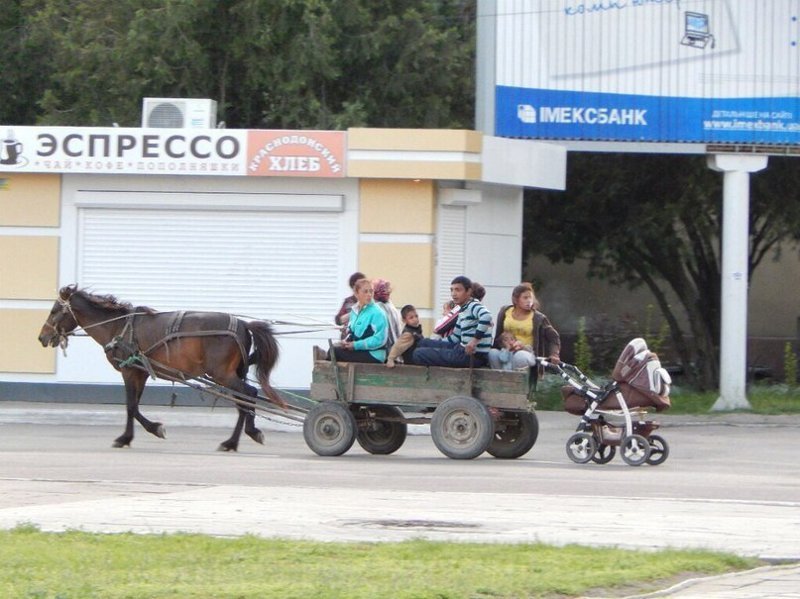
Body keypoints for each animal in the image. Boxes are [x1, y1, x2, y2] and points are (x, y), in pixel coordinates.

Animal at [40, 284, 286, 450]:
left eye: (54, 311)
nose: (42, 337)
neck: (119, 327)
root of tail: (244, 324)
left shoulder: (129, 371)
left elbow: (131, 407)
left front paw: (132, 435)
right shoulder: (140, 373)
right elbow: (134, 406)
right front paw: (140, 433)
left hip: (222, 374)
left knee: (248, 394)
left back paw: (235, 440)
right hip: (230, 374)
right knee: (243, 401)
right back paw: (242, 436)